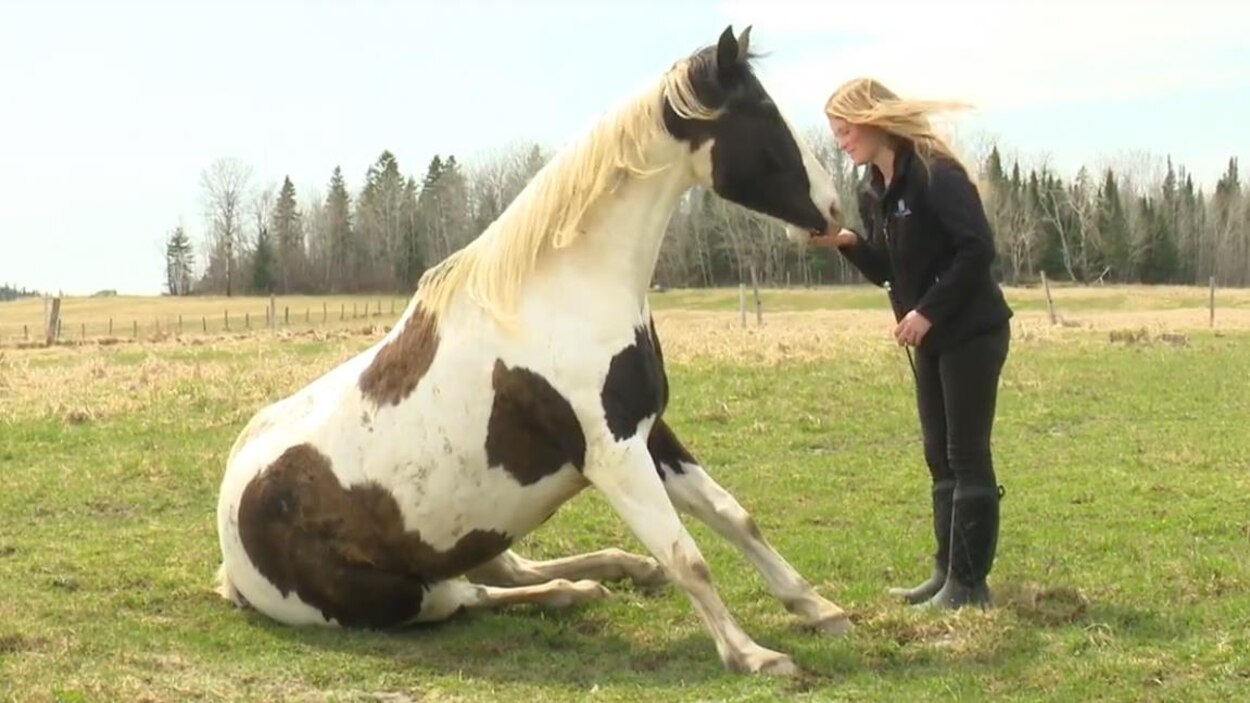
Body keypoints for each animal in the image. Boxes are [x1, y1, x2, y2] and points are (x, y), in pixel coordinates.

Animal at [220, 25, 855, 675]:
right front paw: (753, 655)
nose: (833, 210)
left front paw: (819, 610)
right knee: (476, 595)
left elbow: (735, 517)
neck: (561, 292)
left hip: (480, 537)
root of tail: (232, 560)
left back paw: (619, 570)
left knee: (514, 570)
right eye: (763, 112)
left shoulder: (649, 432)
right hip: (406, 595)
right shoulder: (613, 455)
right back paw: (579, 591)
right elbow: (687, 556)